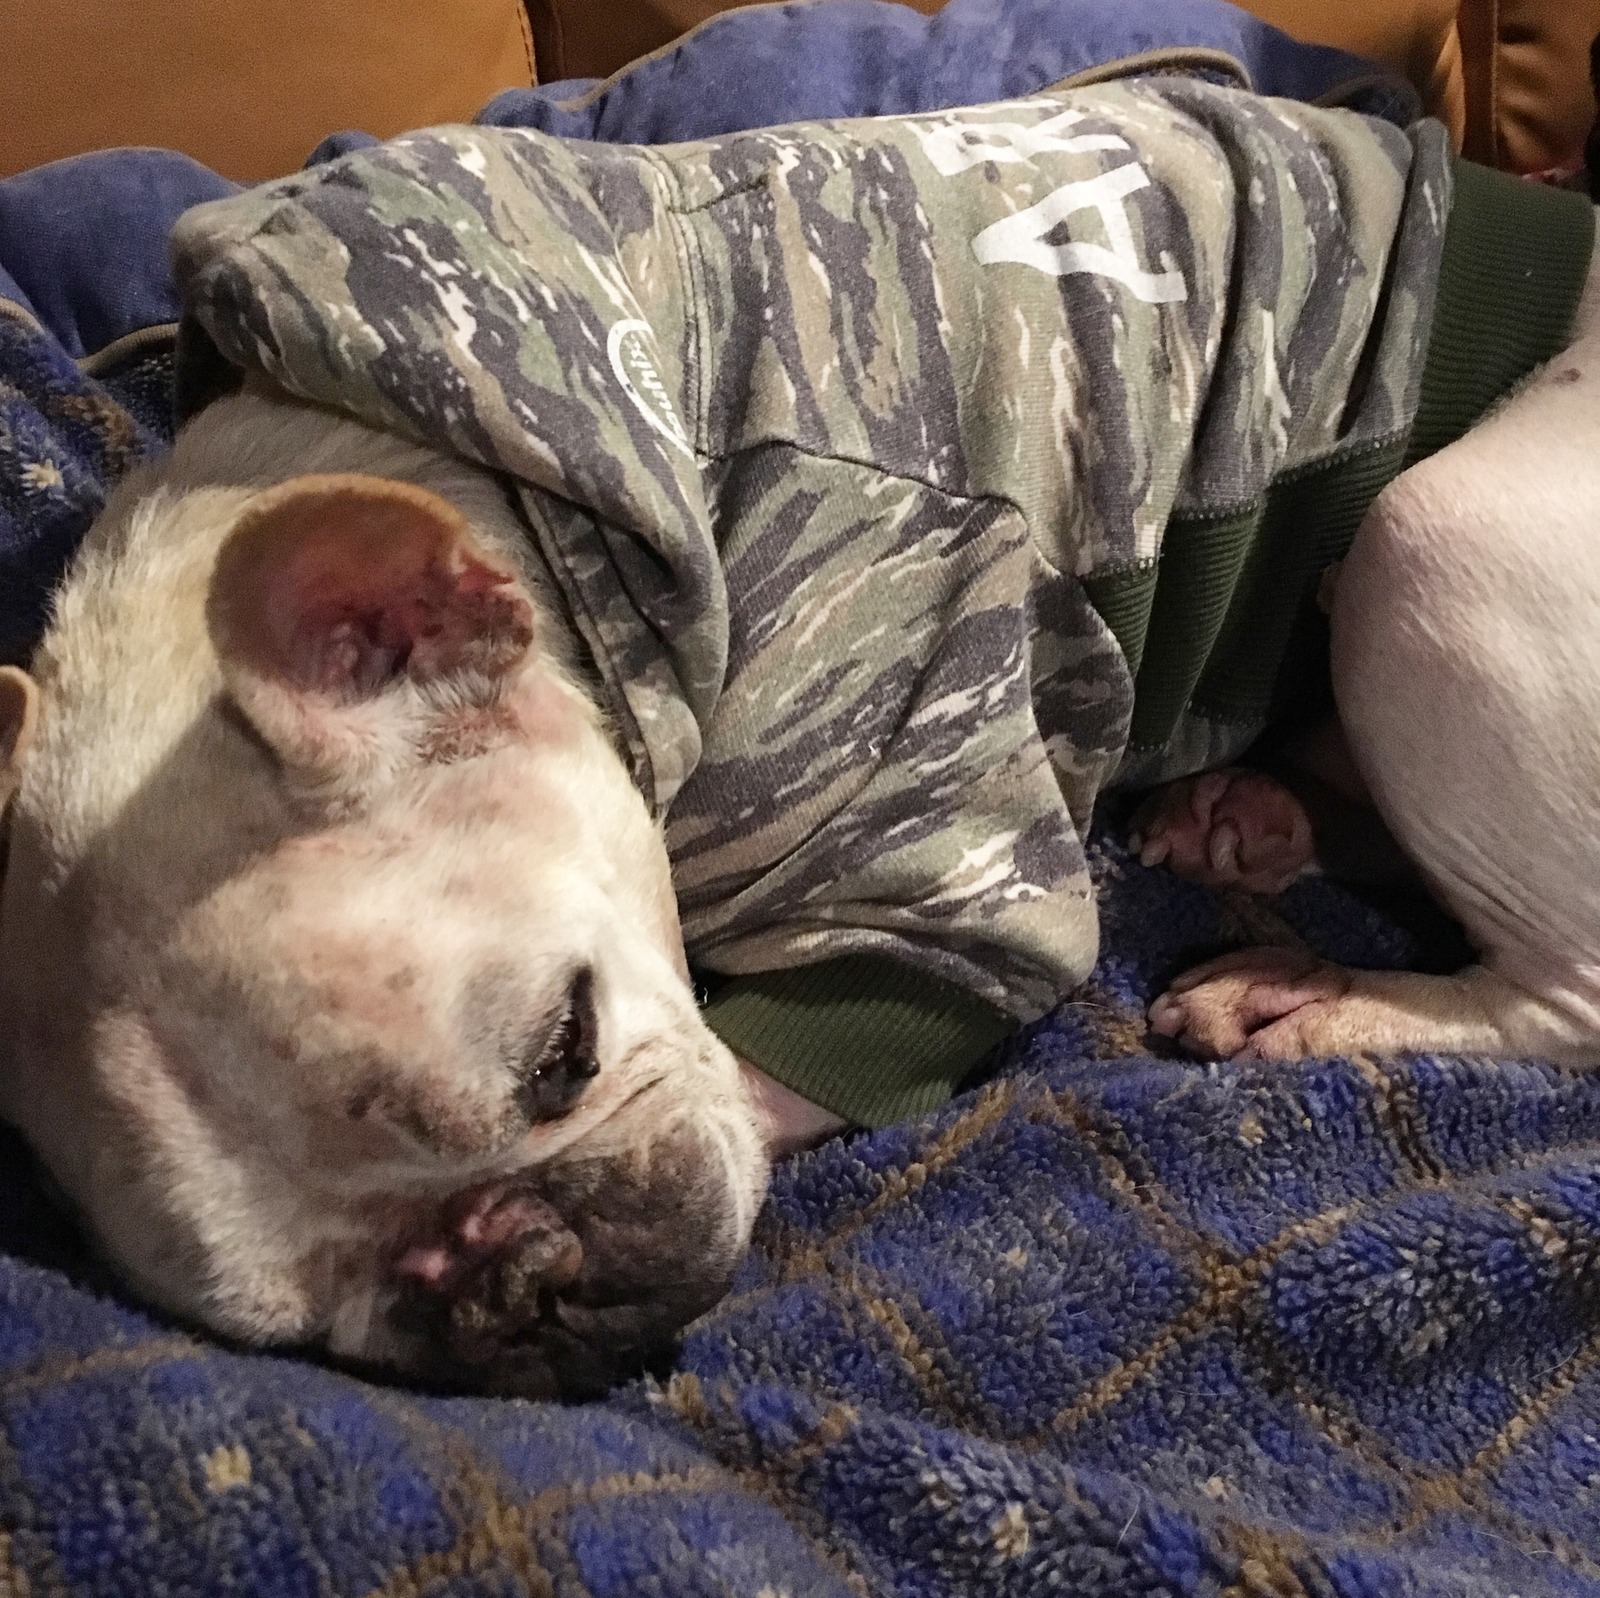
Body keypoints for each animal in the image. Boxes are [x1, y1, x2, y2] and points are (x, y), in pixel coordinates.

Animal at [0, 80, 1596, 1397]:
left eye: (564, 1052)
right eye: (302, 1332)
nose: (517, 1279)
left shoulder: (931, 853)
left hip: (1429, 547)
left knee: (1558, 1001)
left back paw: (1317, 1002)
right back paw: (1256, 811)